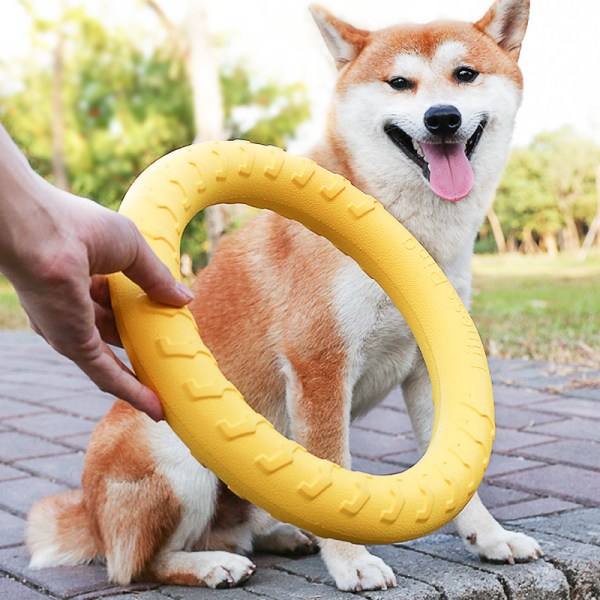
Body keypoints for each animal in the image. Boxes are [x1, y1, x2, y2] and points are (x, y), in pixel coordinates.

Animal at [25, 0, 540, 592]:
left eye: (465, 74)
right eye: (400, 83)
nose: (442, 117)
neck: (411, 231)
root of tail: (87, 513)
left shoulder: (430, 372)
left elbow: (460, 477)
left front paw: (492, 538)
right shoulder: (319, 363)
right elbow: (335, 474)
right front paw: (352, 561)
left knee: (234, 530)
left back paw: (283, 536)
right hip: (177, 454)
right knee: (138, 565)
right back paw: (210, 564)